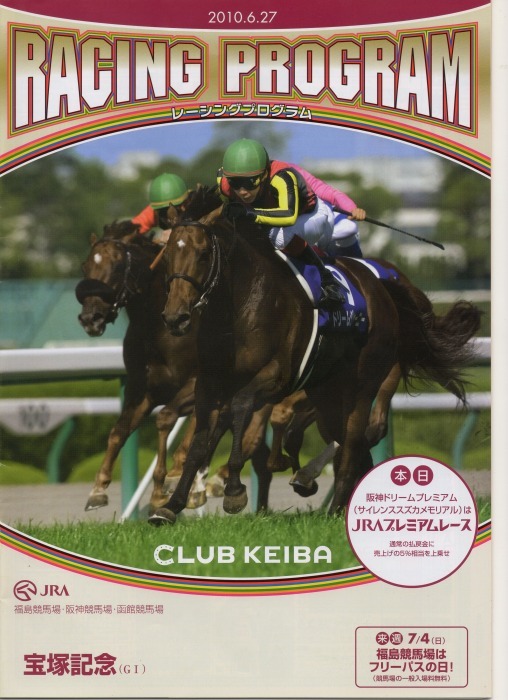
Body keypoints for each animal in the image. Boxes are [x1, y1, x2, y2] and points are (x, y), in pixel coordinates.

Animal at [148, 187, 480, 525]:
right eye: (168, 256)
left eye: (203, 253)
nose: (176, 317)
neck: (240, 305)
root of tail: (382, 284)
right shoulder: (210, 382)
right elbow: (199, 443)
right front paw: (171, 504)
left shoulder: (276, 376)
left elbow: (240, 408)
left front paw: (233, 491)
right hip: (326, 394)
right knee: (352, 445)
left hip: (363, 386)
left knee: (355, 441)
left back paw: (333, 507)